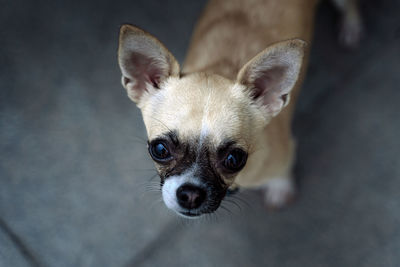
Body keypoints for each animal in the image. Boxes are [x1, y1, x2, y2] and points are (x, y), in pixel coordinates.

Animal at [116, 0, 362, 218]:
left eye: (234, 159)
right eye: (159, 149)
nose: (191, 194)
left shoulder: (285, 154)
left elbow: (283, 173)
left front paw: (280, 188)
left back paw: (352, 27)